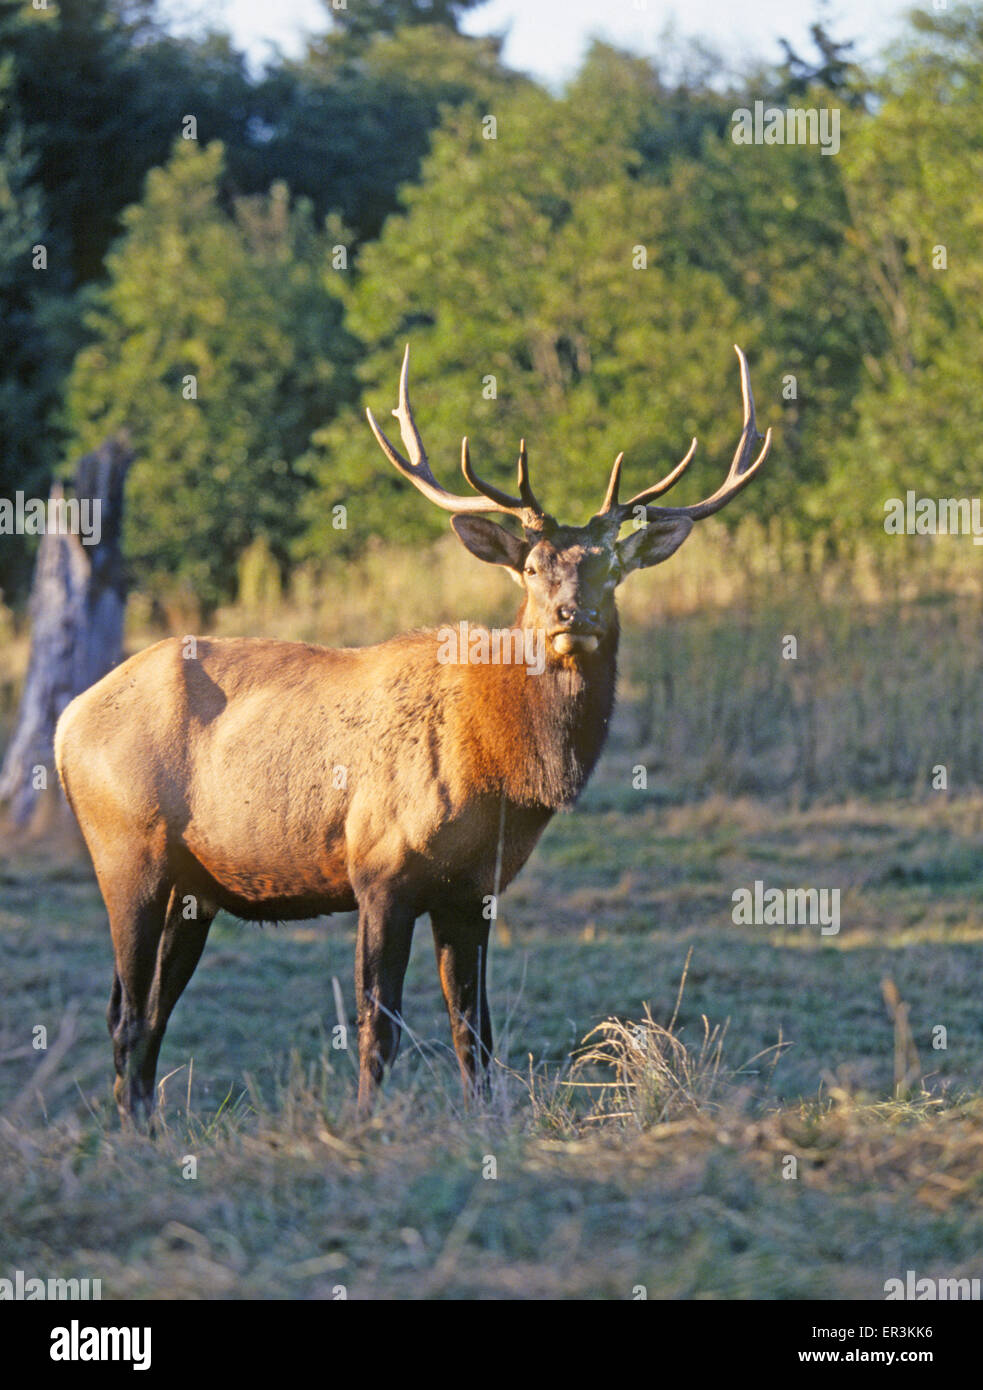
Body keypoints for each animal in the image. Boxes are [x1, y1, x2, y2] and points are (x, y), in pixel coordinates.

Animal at [53, 341, 773, 1123]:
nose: (571, 615)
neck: (497, 768)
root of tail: (66, 723)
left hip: (195, 887)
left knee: (149, 1012)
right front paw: (365, 1124)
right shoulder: (379, 867)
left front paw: (486, 1123)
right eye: (530, 567)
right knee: (126, 1014)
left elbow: (474, 1031)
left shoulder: (473, 890)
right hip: (127, 852)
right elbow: (379, 1025)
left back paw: (148, 1129)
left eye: (611, 567)